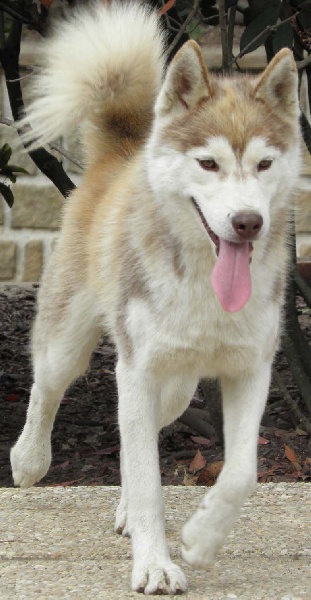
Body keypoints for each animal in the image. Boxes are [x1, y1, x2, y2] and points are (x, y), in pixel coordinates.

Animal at [10, 2, 302, 596]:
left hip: (176, 387)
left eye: (264, 164)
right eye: (208, 163)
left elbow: (240, 473)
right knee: (48, 389)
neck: (207, 288)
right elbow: (148, 481)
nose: (248, 221)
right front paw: (155, 564)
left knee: (132, 438)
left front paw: (201, 538)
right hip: (75, 345)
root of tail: (121, 152)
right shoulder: (138, 369)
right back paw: (28, 460)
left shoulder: (250, 369)